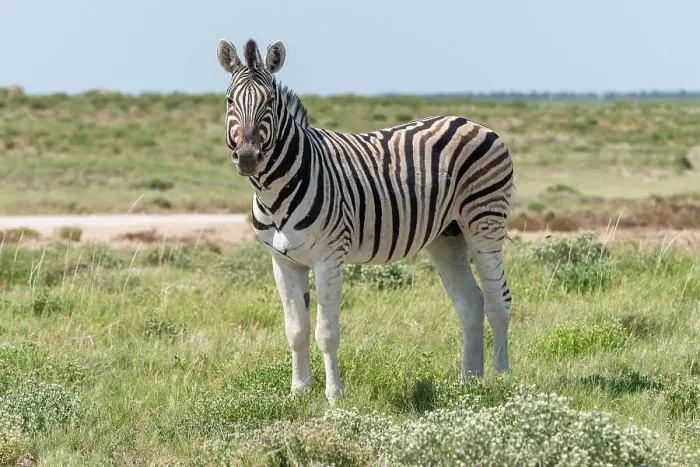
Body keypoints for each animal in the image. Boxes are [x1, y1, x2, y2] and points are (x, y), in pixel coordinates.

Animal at [216, 38, 515, 404]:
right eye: (230, 101)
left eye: (270, 102)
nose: (247, 158)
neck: (275, 192)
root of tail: (471, 121)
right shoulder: (283, 262)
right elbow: (295, 330)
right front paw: (299, 393)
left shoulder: (329, 257)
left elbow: (326, 333)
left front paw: (334, 397)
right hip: (448, 235)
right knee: (471, 303)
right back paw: (470, 382)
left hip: (485, 221)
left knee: (498, 300)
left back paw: (501, 380)